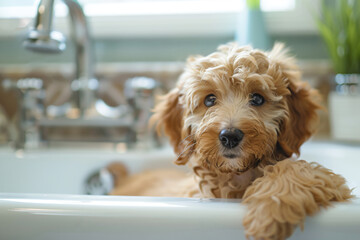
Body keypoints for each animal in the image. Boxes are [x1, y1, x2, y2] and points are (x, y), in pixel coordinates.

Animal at [109, 43, 352, 240]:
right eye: (209, 100)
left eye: (257, 98)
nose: (230, 136)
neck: (237, 178)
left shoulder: (337, 188)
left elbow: (298, 169)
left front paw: (267, 213)